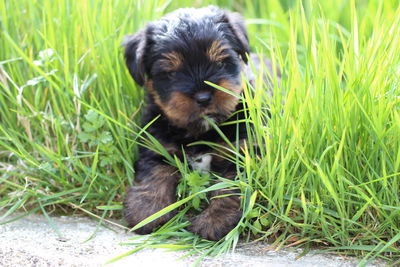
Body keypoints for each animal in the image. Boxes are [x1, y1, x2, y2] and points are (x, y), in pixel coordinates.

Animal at [122, 5, 268, 241]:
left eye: (220, 62)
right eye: (171, 73)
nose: (203, 97)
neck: (201, 131)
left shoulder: (240, 152)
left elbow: (229, 187)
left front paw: (214, 220)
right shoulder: (158, 145)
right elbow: (154, 174)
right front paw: (147, 211)